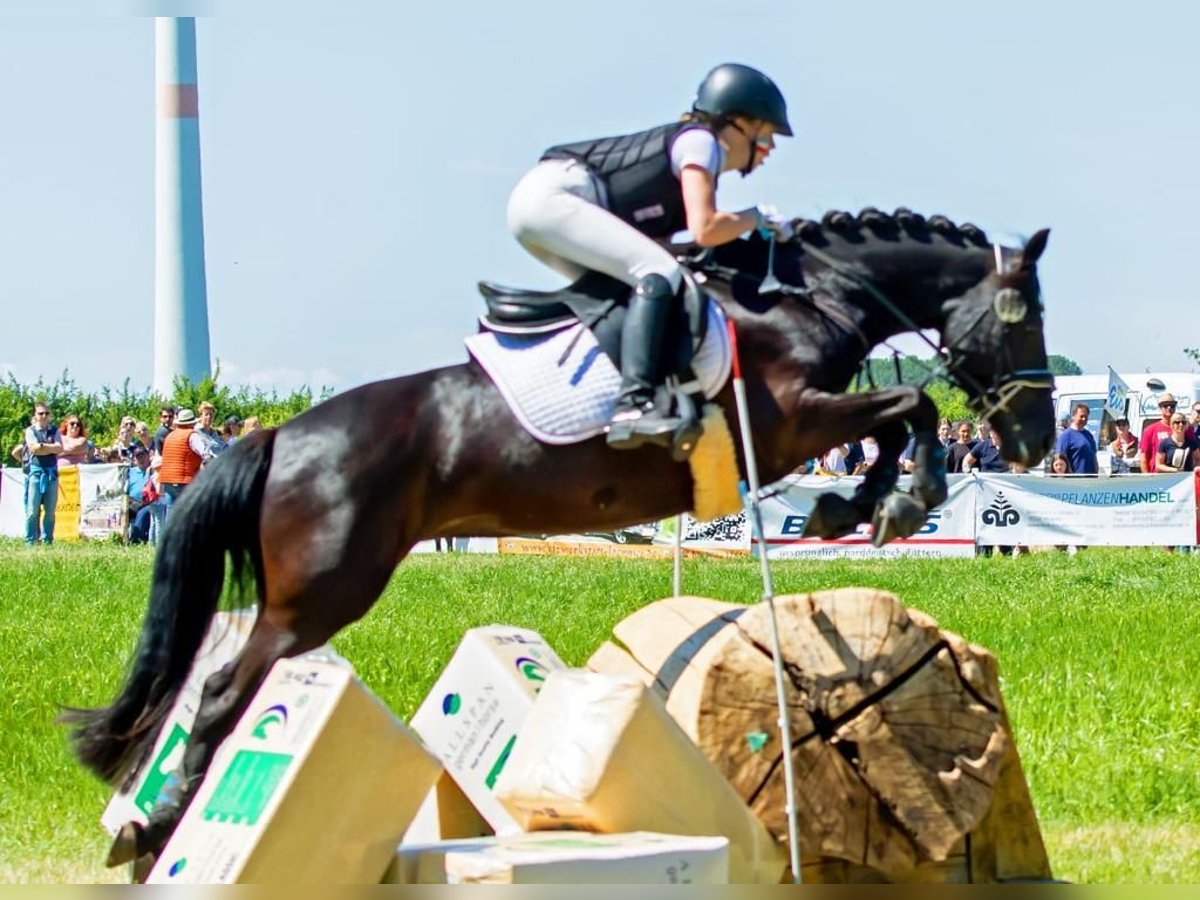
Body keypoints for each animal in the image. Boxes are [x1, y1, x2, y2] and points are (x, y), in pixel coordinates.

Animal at [68, 207, 1060, 868]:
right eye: (1025, 320)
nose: (1035, 441)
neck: (803, 299)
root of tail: (280, 435)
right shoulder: (789, 424)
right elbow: (912, 404)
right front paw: (891, 501)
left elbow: (901, 416)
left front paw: (865, 506)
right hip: (319, 594)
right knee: (222, 691)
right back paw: (158, 834)